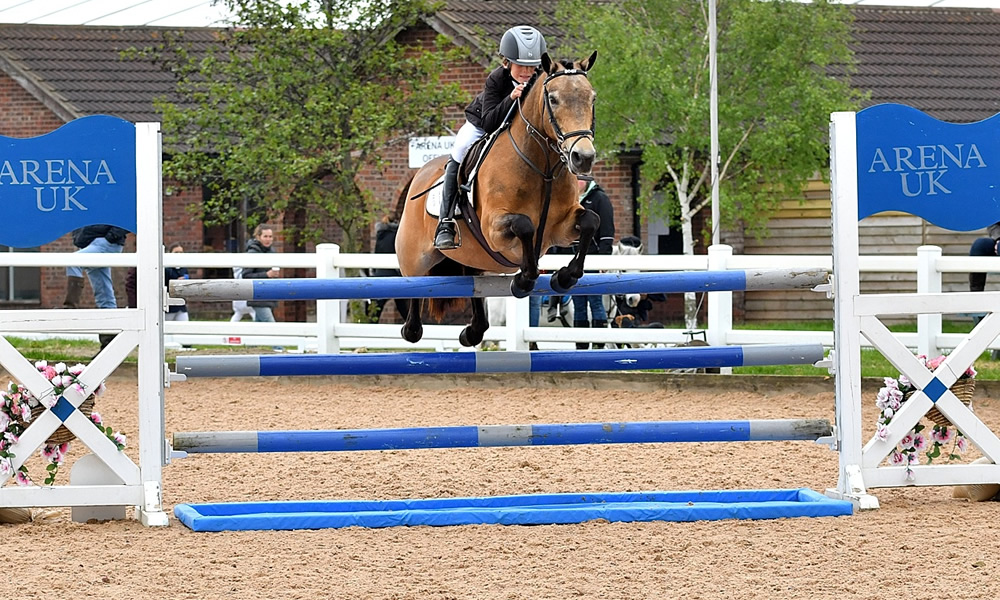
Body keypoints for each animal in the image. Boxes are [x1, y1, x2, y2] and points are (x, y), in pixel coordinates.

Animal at [396, 51, 600, 346]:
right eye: (553, 99)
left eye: (592, 98)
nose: (583, 158)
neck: (543, 167)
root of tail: (421, 173)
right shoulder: (494, 228)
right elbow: (524, 226)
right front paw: (523, 281)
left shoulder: (560, 229)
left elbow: (590, 221)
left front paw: (563, 277)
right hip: (415, 257)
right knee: (414, 286)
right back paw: (411, 329)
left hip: (474, 259)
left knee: (474, 283)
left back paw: (473, 331)